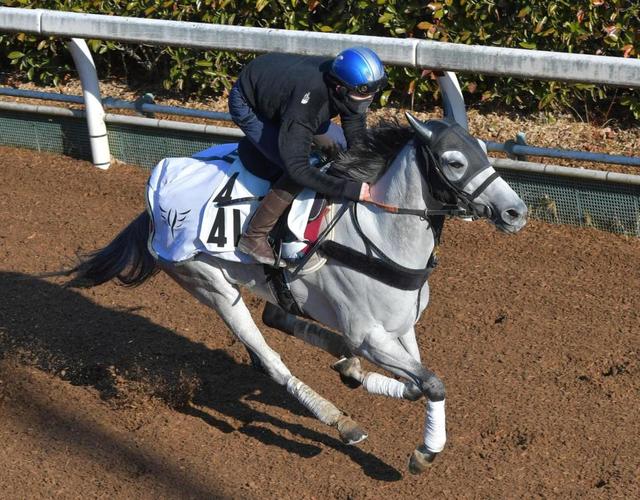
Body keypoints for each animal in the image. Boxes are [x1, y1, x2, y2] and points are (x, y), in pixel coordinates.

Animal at [55, 113, 527, 474]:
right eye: (453, 161)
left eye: (482, 149)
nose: (515, 212)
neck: (378, 233)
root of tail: (156, 194)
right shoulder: (370, 334)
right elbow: (431, 383)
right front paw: (425, 452)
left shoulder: (400, 327)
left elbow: (422, 383)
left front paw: (390, 398)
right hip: (211, 285)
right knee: (269, 357)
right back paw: (338, 418)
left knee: (280, 317)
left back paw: (346, 367)